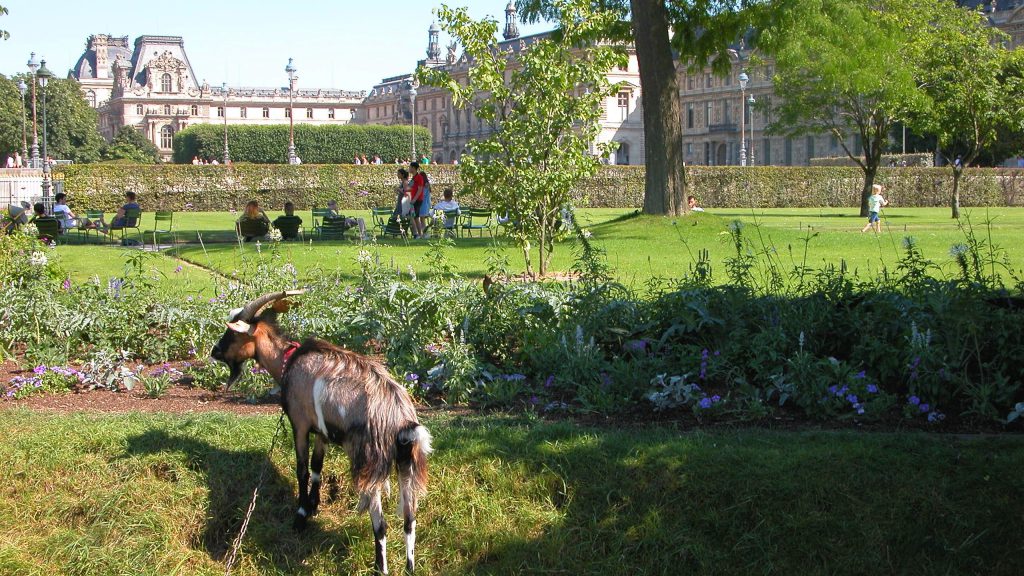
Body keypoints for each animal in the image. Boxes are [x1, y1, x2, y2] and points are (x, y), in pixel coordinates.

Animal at [207, 289, 432, 569]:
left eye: (233, 333)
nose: (215, 351)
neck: (288, 361)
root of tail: (402, 421)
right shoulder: (321, 432)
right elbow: (317, 467)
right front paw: (314, 505)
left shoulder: (300, 424)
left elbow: (302, 469)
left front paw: (301, 515)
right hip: (407, 462)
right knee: (410, 521)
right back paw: (409, 568)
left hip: (369, 463)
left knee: (381, 526)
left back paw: (380, 568)